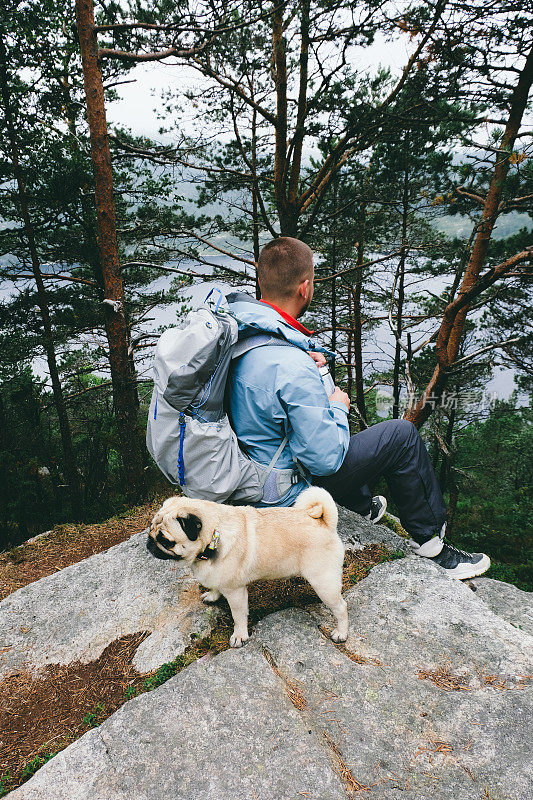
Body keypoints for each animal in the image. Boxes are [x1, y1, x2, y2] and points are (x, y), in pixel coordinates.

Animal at [148, 484, 348, 648]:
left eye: (166, 541)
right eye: (151, 530)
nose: (149, 543)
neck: (213, 536)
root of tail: (324, 523)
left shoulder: (235, 592)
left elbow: (238, 616)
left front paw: (239, 636)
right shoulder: (217, 578)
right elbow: (214, 587)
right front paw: (212, 596)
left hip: (324, 584)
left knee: (341, 607)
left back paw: (341, 633)